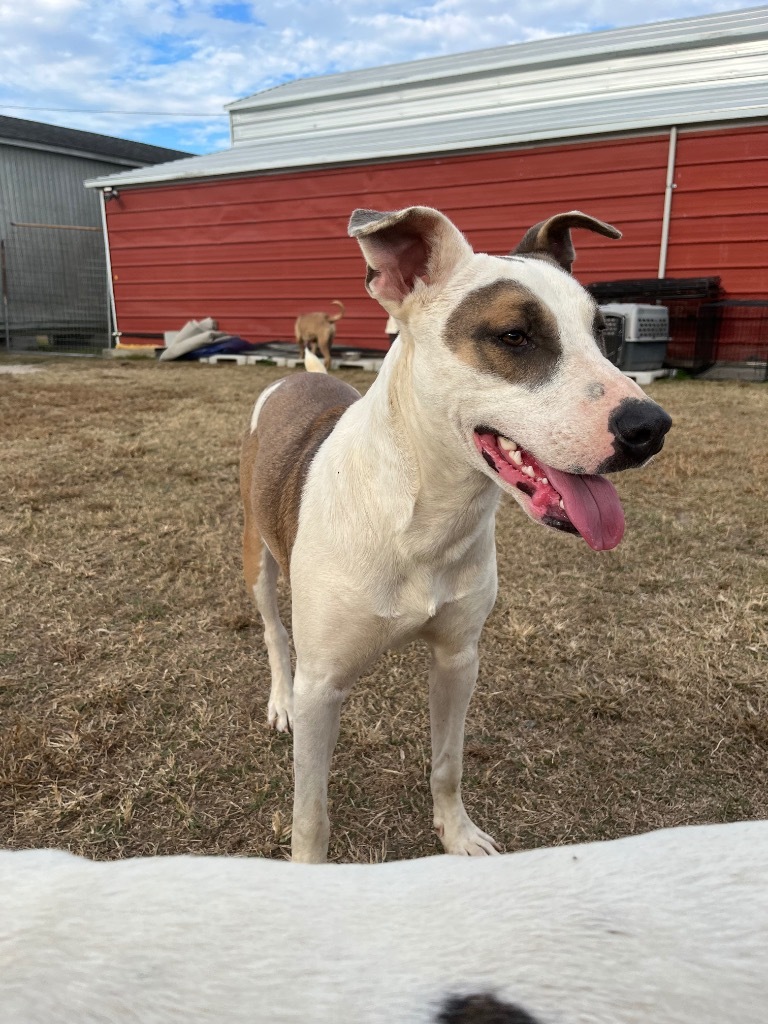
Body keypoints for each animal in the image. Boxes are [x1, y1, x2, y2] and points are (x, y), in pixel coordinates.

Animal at [241, 207, 671, 864]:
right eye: (513, 336)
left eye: (603, 334)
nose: (650, 426)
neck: (424, 516)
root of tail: (299, 378)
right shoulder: (322, 686)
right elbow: (310, 813)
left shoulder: (457, 659)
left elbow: (448, 763)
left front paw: (457, 835)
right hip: (258, 561)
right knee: (272, 631)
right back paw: (279, 700)